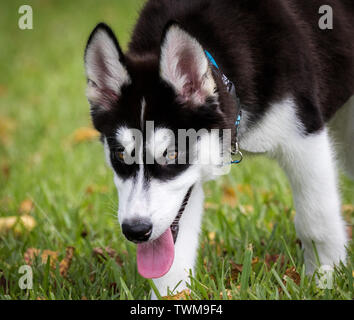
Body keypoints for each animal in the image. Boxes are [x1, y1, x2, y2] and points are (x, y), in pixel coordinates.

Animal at [83, 0, 354, 298]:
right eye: (121, 154)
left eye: (172, 154)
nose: (136, 230)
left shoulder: (304, 138)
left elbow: (315, 221)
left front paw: (324, 278)